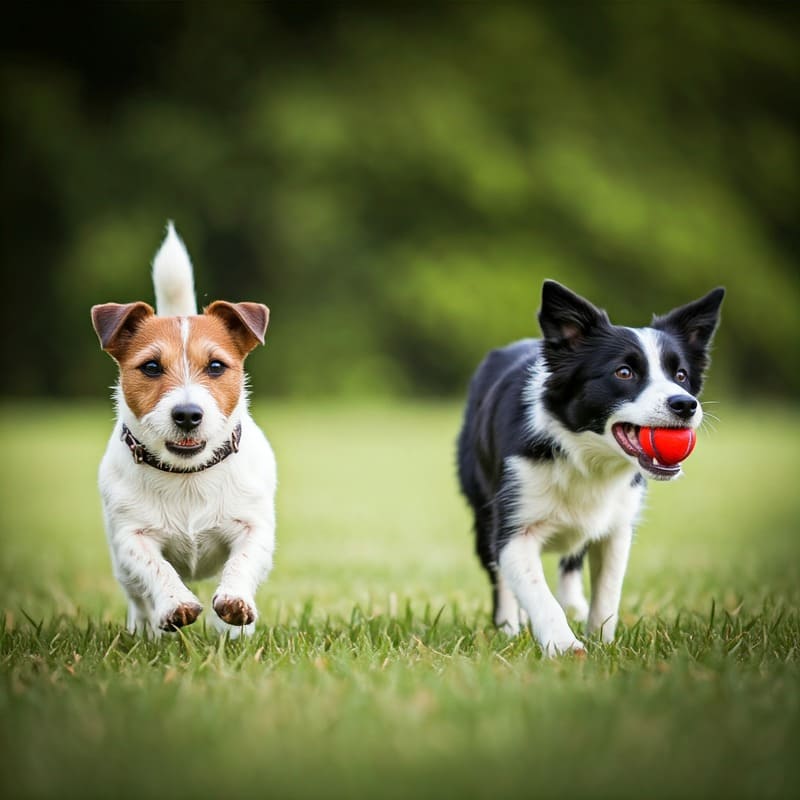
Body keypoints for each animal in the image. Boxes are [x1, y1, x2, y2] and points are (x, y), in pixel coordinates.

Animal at [92, 223, 276, 636]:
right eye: (151, 367)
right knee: (137, 597)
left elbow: (241, 562)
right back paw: (144, 630)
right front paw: (175, 604)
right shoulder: (131, 537)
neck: (188, 474)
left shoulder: (254, 528)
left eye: (216, 366)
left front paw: (234, 602)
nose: (188, 414)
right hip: (119, 565)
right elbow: (155, 568)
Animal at [456, 282, 724, 656]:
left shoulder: (617, 527)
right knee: (500, 577)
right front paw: (565, 647)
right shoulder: (513, 527)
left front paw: (603, 642)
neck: (584, 457)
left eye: (681, 375)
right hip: (482, 510)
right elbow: (537, 592)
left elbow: (608, 591)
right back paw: (509, 626)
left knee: (572, 561)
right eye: (624, 372)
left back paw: (573, 607)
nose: (685, 404)